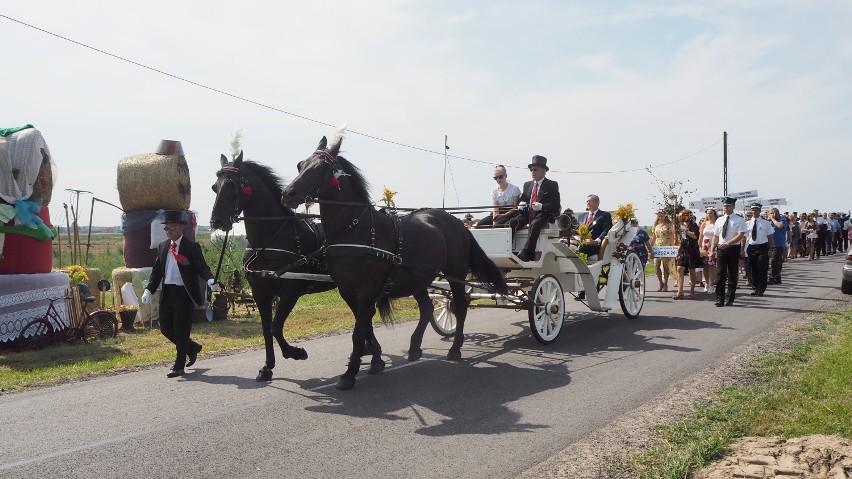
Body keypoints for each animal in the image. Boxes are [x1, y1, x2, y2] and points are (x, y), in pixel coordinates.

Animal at [211, 150, 384, 382]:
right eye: (215, 186)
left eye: (233, 185)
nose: (216, 221)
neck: (269, 240)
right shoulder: (259, 293)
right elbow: (266, 330)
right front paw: (267, 367)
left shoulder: (290, 292)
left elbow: (276, 327)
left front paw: (295, 352)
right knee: (362, 314)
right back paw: (368, 351)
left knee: (365, 314)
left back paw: (374, 354)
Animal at [282, 131, 506, 390]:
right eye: (300, 165)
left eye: (320, 168)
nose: (287, 194)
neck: (354, 229)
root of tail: (456, 221)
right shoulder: (347, 291)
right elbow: (364, 325)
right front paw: (376, 360)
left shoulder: (366, 290)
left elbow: (359, 331)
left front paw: (349, 374)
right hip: (419, 278)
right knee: (427, 308)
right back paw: (415, 347)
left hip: (456, 273)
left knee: (459, 307)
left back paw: (455, 348)